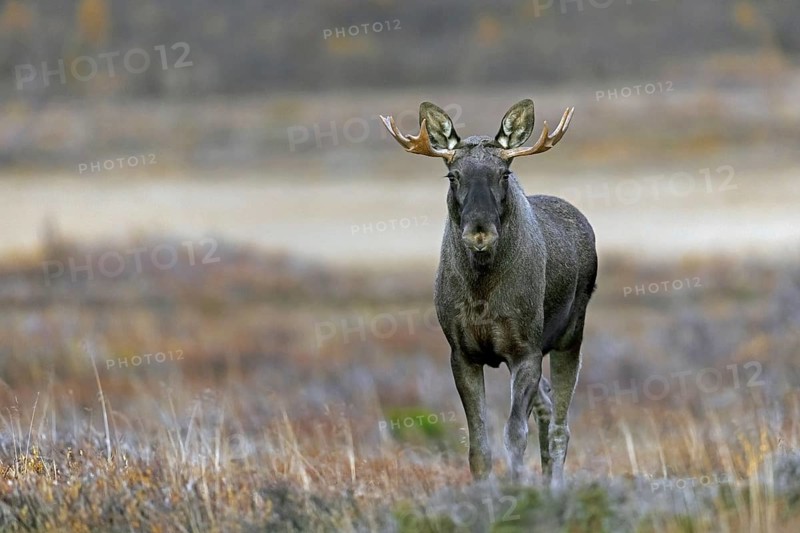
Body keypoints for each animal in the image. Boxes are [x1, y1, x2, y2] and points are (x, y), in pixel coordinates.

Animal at [380, 100, 597, 488]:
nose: (479, 232)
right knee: (546, 409)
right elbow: (478, 447)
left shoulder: (526, 351)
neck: (482, 292)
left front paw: (518, 486)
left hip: (570, 337)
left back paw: (555, 486)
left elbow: (514, 435)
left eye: (504, 174)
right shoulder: (462, 353)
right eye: (453, 175)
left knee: (561, 426)